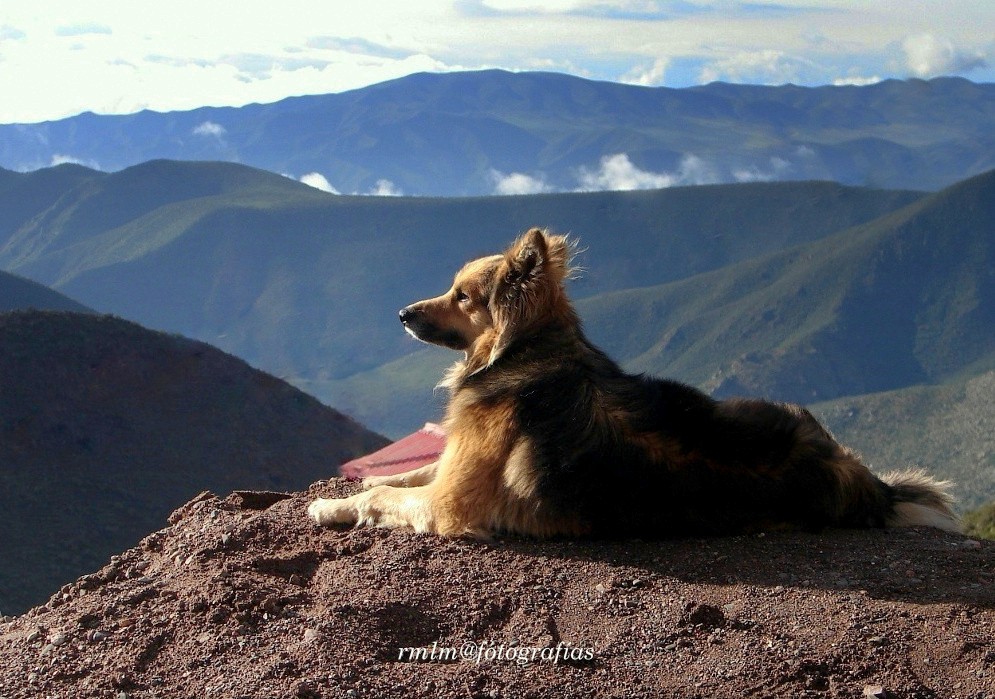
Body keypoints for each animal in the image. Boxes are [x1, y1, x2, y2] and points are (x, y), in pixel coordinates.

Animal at [308, 227, 960, 540]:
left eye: (462, 296)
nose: (400, 314)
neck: (526, 350)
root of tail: (866, 481)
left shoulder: (452, 503)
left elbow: (388, 497)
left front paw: (329, 506)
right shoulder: (449, 465)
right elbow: (407, 473)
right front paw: (353, 488)